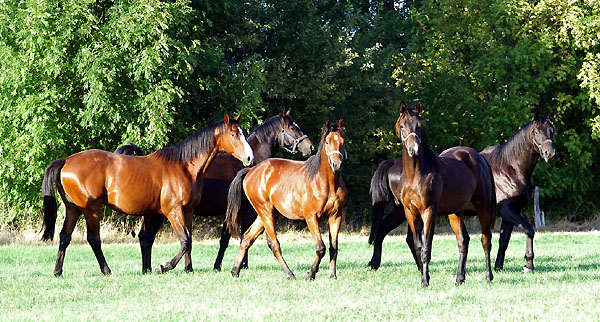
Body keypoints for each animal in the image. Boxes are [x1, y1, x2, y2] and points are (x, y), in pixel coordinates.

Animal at [41, 114, 253, 276]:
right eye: (234, 134)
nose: (250, 158)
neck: (183, 167)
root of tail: (66, 160)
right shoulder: (173, 211)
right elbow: (185, 240)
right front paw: (165, 267)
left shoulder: (188, 211)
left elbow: (189, 240)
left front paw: (188, 268)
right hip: (91, 209)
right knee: (94, 239)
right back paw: (106, 270)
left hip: (73, 208)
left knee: (65, 236)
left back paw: (58, 271)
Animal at [116, 109, 314, 272]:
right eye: (293, 127)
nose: (310, 146)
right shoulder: (244, 211)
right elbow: (232, 237)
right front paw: (233, 265)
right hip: (158, 214)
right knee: (147, 237)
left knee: (145, 237)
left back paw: (147, 269)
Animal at [225, 119, 346, 280]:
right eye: (327, 142)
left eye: (343, 142)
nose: (336, 164)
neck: (326, 183)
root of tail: (251, 170)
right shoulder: (311, 217)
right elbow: (321, 248)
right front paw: (310, 274)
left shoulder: (335, 216)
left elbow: (334, 247)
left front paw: (332, 275)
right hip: (265, 212)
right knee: (273, 243)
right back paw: (290, 274)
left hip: (265, 214)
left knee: (247, 238)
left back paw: (235, 270)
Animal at [368, 109, 556, 272]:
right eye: (537, 131)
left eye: (552, 131)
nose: (550, 153)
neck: (509, 167)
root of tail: (394, 163)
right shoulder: (507, 210)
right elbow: (529, 229)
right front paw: (529, 264)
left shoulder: (512, 211)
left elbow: (504, 240)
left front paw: (498, 266)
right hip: (404, 210)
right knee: (389, 230)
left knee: (392, 232)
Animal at [394, 102, 496, 286]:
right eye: (402, 125)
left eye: (419, 126)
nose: (414, 149)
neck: (415, 175)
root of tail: (479, 157)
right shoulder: (410, 213)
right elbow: (418, 247)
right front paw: (423, 277)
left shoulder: (429, 211)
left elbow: (427, 248)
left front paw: (425, 281)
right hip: (455, 213)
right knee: (463, 241)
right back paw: (459, 278)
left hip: (482, 209)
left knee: (486, 240)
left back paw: (488, 276)